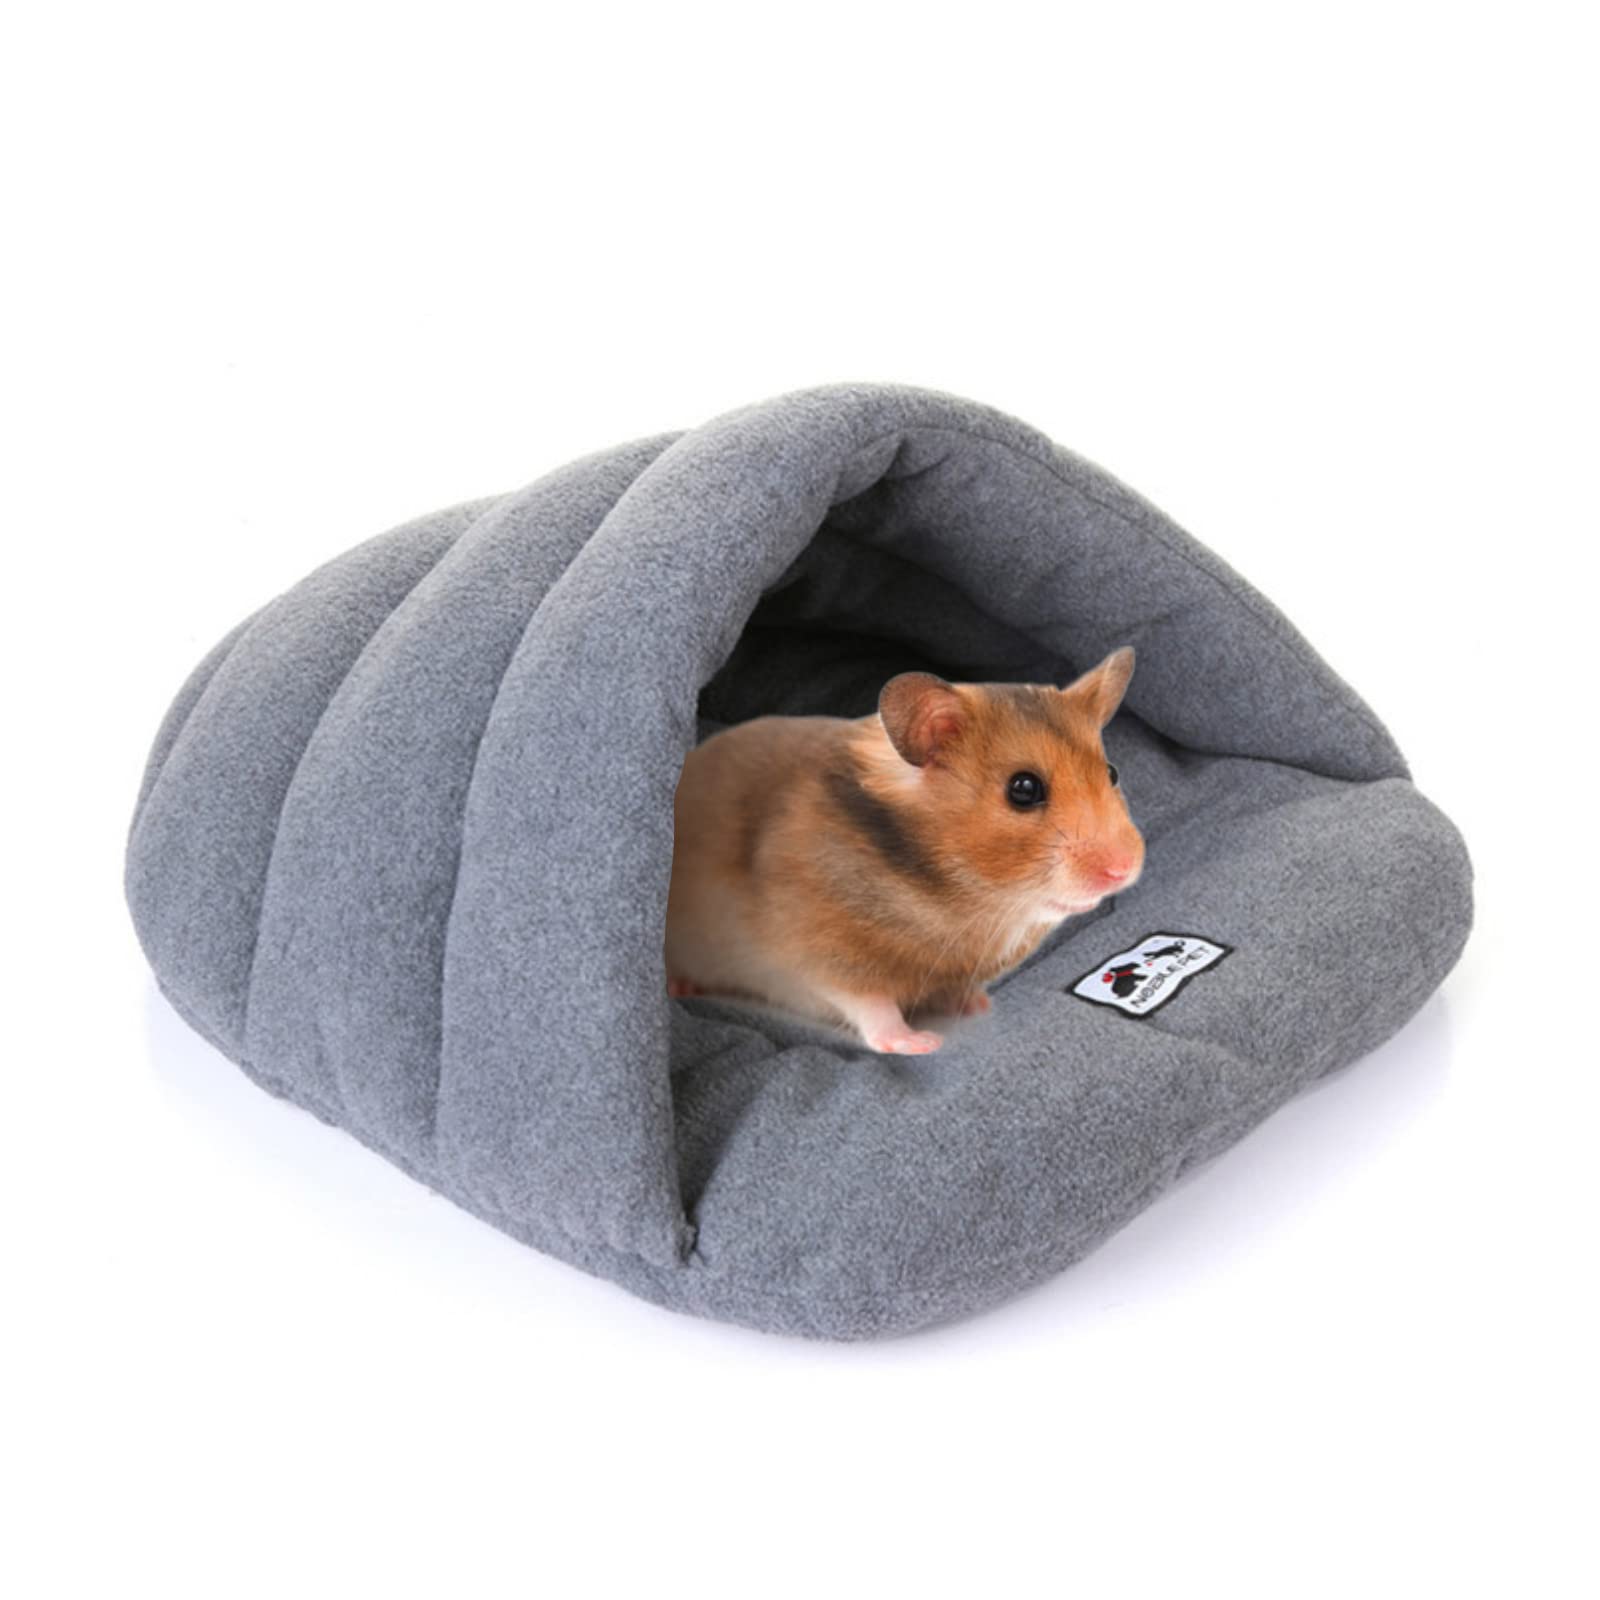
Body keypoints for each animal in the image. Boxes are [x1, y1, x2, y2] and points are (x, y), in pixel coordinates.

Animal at [664, 648, 1144, 1055]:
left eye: (1112, 772)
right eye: (1023, 789)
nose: (1125, 869)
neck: (968, 901)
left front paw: (977, 1005)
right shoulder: (819, 954)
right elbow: (870, 1005)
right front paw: (921, 1042)